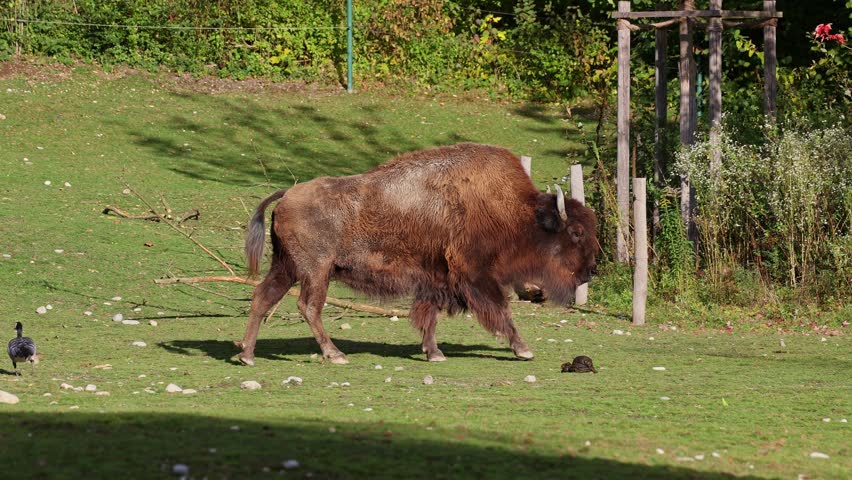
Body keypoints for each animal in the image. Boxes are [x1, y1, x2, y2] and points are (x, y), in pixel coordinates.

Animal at [235, 143, 598, 365]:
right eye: (576, 232)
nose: (591, 269)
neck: (516, 212)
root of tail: (288, 193)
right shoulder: (476, 275)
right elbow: (500, 310)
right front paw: (524, 350)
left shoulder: (436, 278)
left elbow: (429, 315)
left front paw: (433, 352)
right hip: (316, 271)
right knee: (308, 306)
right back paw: (334, 354)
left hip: (286, 267)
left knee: (263, 296)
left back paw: (247, 355)